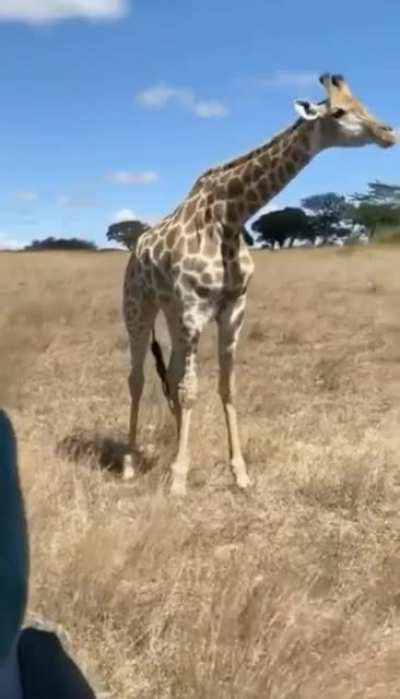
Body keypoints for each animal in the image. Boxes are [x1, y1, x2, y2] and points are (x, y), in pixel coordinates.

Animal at [123, 72, 396, 496]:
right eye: (338, 111)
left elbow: (225, 387)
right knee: (137, 378)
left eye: (362, 103)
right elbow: (191, 390)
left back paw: (171, 447)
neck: (231, 216)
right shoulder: (194, 309)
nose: (387, 132)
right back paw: (130, 462)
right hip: (139, 308)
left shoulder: (233, 309)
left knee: (171, 373)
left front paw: (238, 473)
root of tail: (135, 250)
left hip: (171, 312)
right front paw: (180, 479)